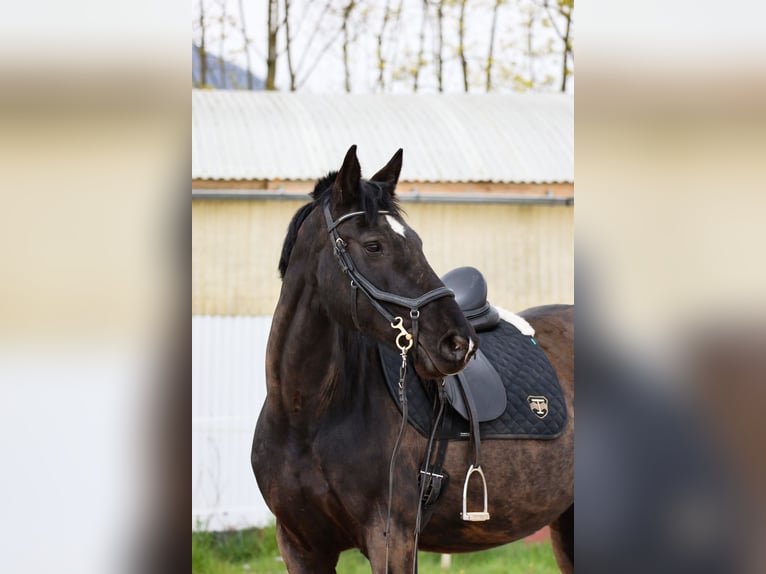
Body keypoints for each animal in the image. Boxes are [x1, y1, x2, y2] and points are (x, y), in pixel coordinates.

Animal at [251, 146, 574, 573]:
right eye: (373, 245)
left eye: (417, 241)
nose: (459, 343)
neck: (307, 416)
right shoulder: (300, 547)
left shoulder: (392, 540)